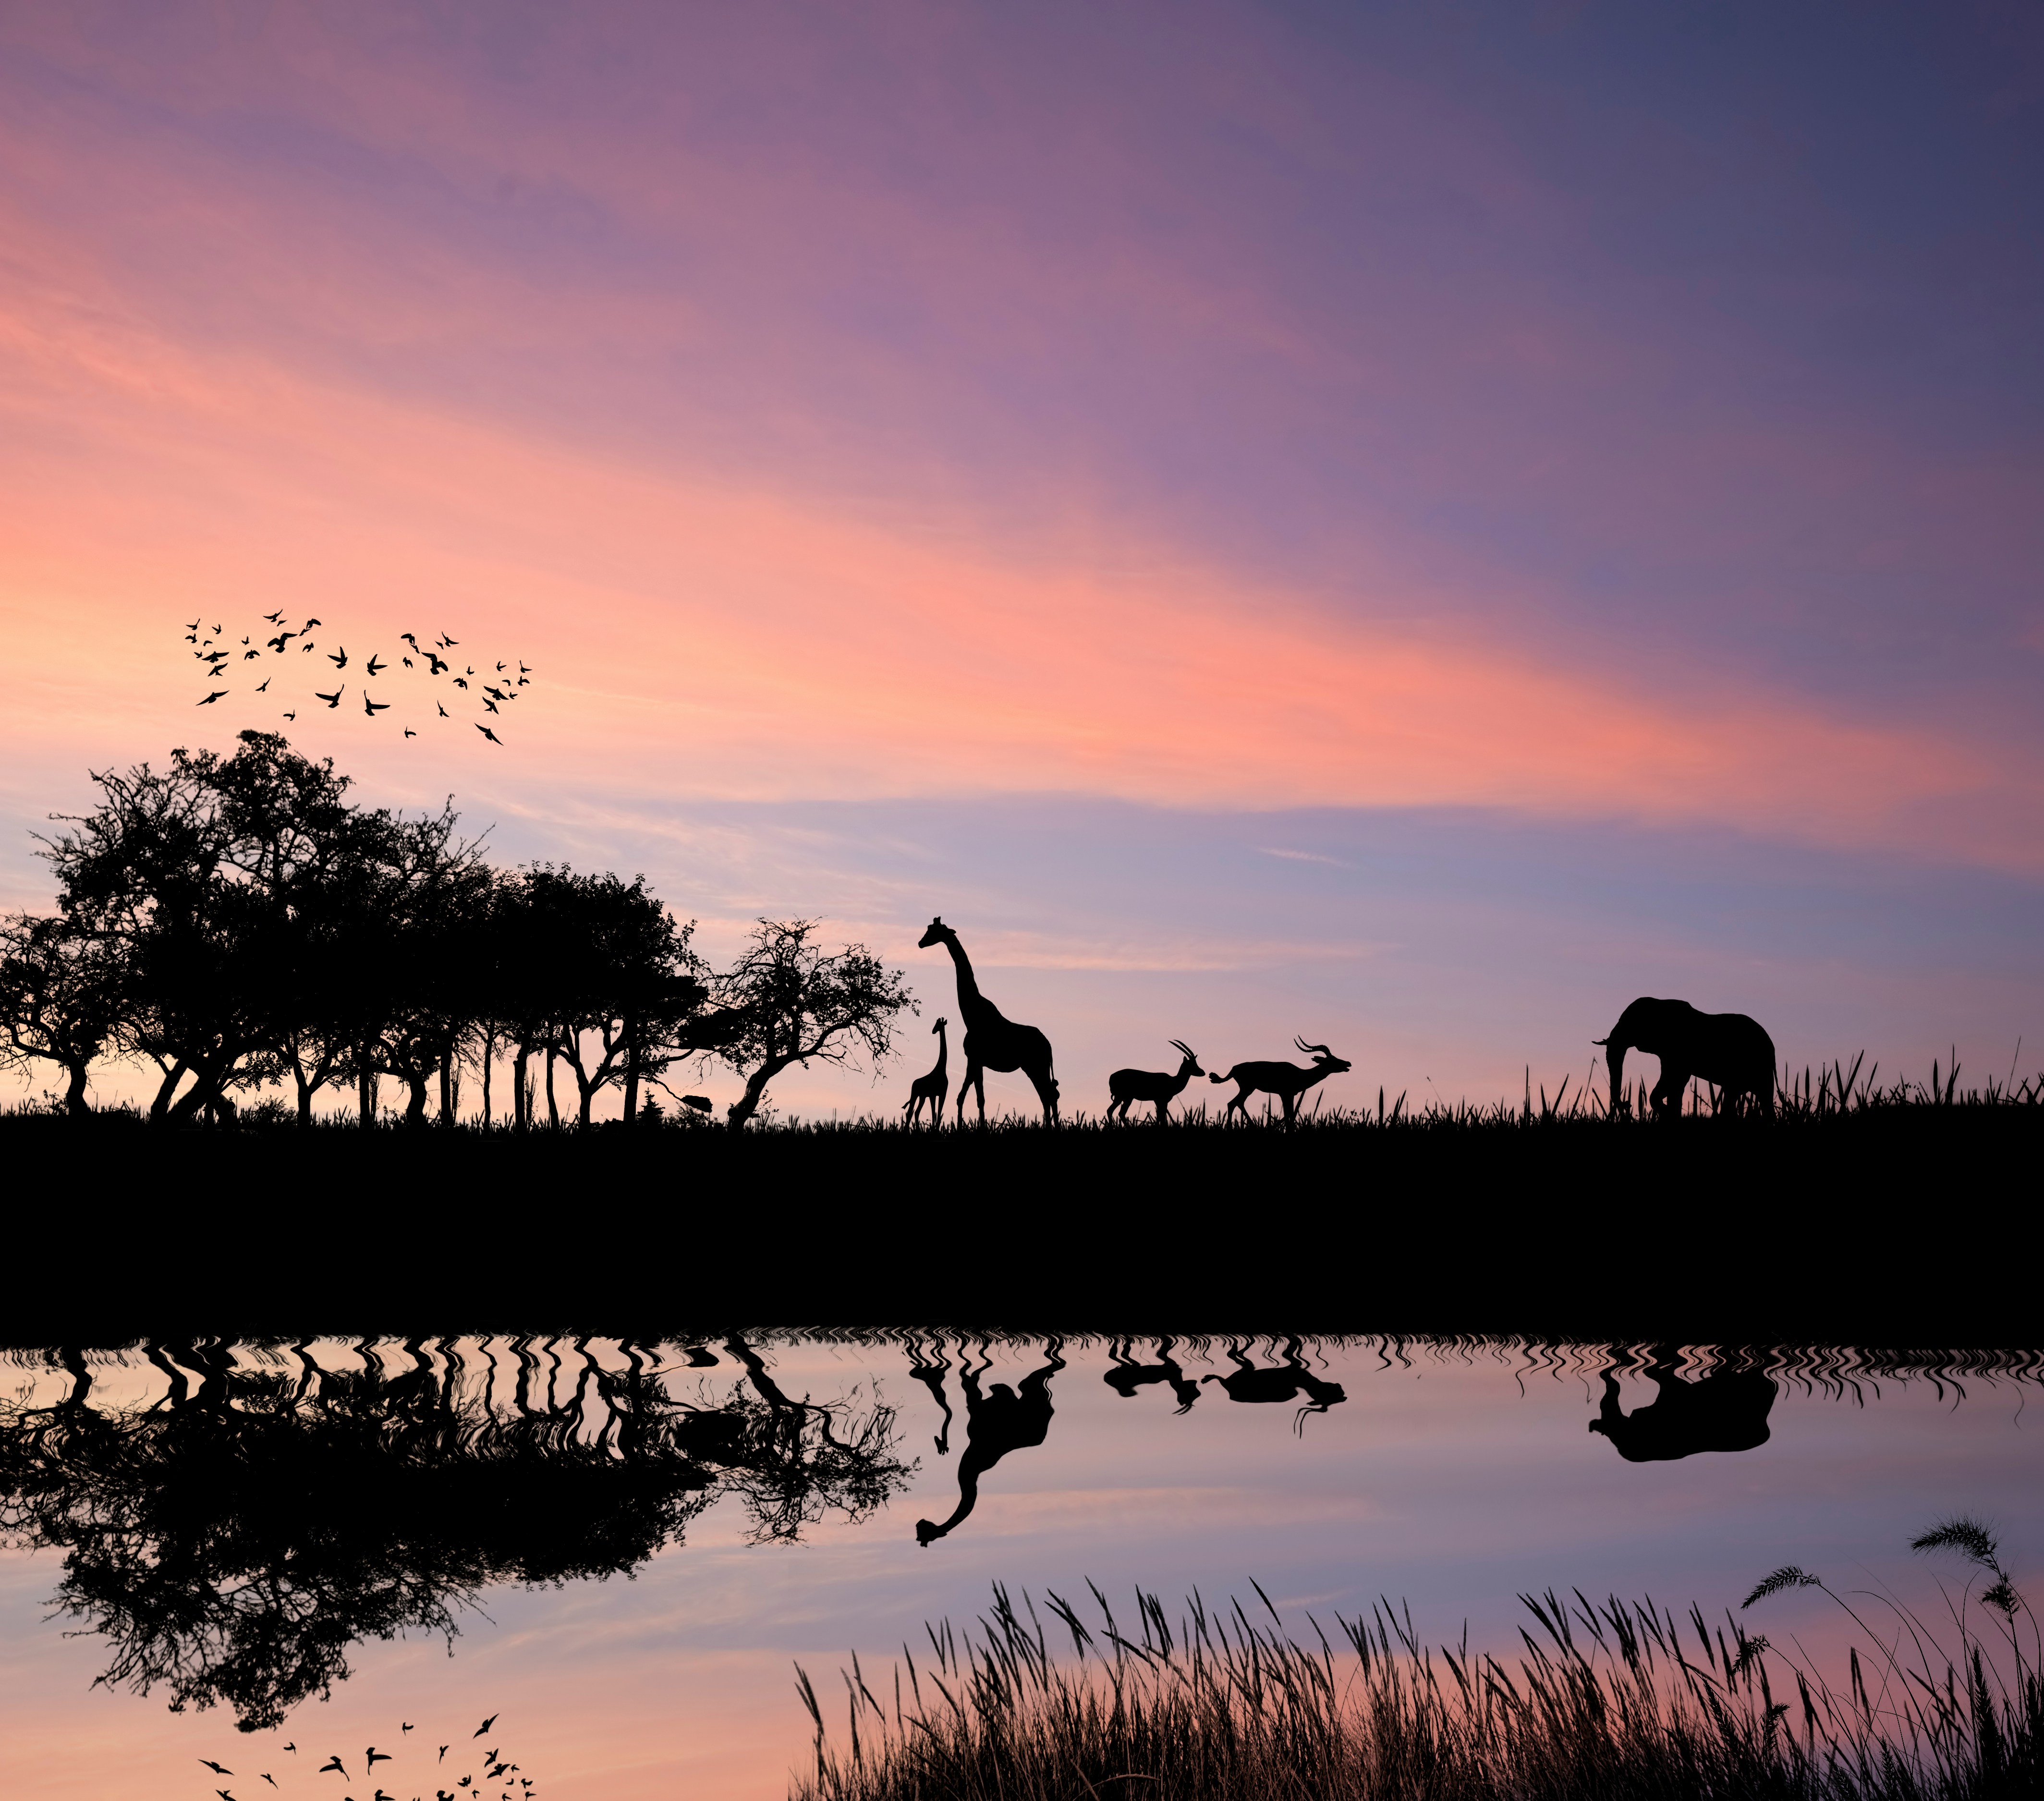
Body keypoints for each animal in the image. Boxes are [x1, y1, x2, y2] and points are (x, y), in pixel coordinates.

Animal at [903, 1017, 950, 1126]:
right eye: (936, 1024)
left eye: (939, 1025)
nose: (933, 1031)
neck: (941, 1070)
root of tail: (914, 1083)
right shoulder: (933, 1094)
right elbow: (934, 1113)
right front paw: (933, 1128)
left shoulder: (943, 1094)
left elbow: (938, 1113)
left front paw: (936, 1128)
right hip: (915, 1094)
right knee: (910, 1112)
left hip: (922, 1096)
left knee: (916, 1112)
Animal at [917, 917, 1060, 1124]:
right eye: (929, 929)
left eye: (934, 931)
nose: (921, 943)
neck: (972, 1015)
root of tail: (1048, 1045)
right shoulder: (975, 1061)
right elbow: (967, 1097)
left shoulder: (975, 1059)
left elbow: (976, 1098)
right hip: (1035, 1067)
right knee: (1049, 1095)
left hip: (1036, 1066)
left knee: (1048, 1095)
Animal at [1595, 996, 1774, 1118]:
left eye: (1629, 1023)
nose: (1628, 1104)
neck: (1660, 1004)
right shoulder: (1668, 1054)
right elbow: (1675, 1085)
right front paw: (1670, 1113)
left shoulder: (1679, 1052)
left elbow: (1673, 1080)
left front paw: (1667, 1111)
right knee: (1736, 1094)